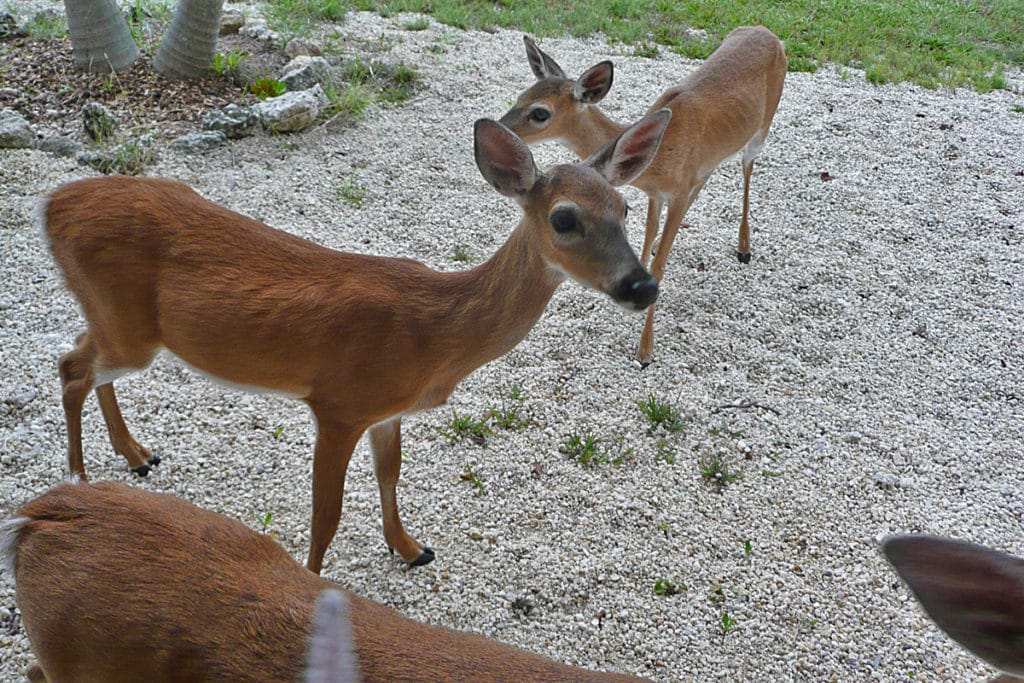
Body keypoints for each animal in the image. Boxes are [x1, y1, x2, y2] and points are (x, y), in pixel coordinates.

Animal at [44, 113, 671, 577]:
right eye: (564, 219)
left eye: (625, 208)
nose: (643, 286)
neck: (435, 335)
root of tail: (50, 207)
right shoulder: (339, 403)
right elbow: (328, 513)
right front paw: (312, 582)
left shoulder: (386, 410)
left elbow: (390, 475)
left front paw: (412, 548)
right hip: (129, 331)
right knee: (72, 365)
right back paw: (78, 480)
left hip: (119, 324)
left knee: (82, 355)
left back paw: (138, 456)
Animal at [499, 25, 786, 368]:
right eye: (522, 95)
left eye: (540, 113)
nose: (499, 126)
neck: (661, 157)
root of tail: (767, 32)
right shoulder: (656, 194)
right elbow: (648, 242)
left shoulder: (676, 193)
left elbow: (660, 265)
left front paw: (645, 351)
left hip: (763, 127)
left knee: (747, 166)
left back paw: (744, 248)